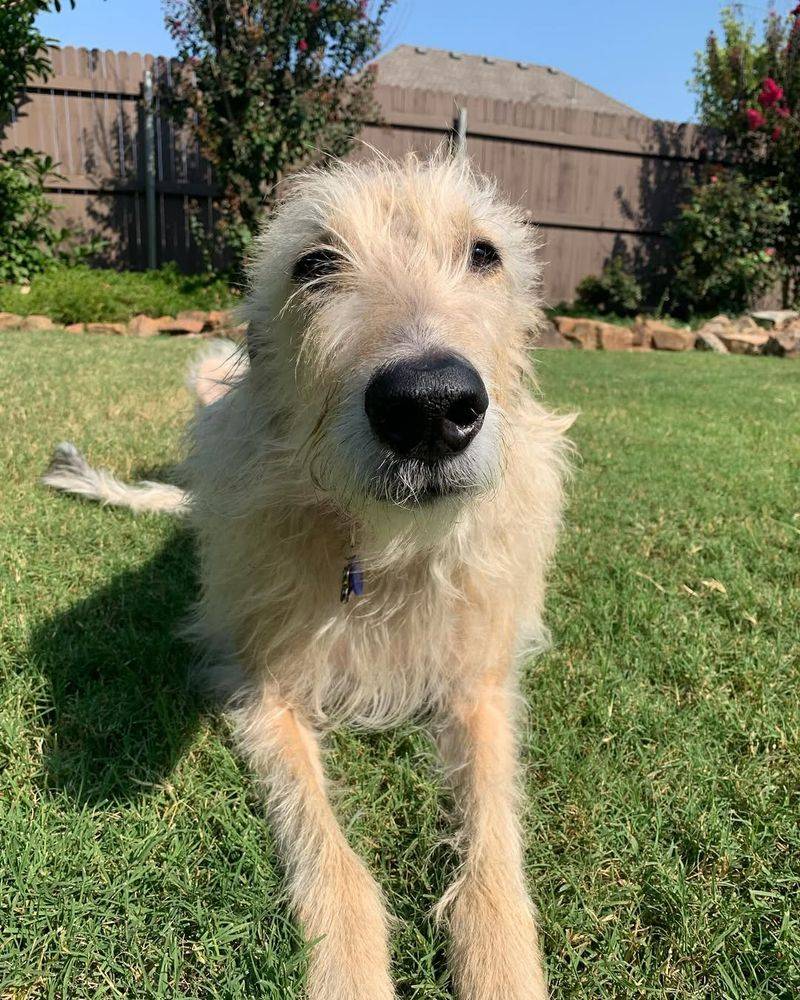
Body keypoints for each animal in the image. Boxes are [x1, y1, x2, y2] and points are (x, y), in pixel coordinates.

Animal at [43, 154, 572, 1000]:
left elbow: (490, 841)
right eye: (315, 262)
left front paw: (502, 963)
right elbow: (337, 861)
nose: (430, 406)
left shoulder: (478, 685)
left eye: (484, 252)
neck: (383, 552)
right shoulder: (262, 690)